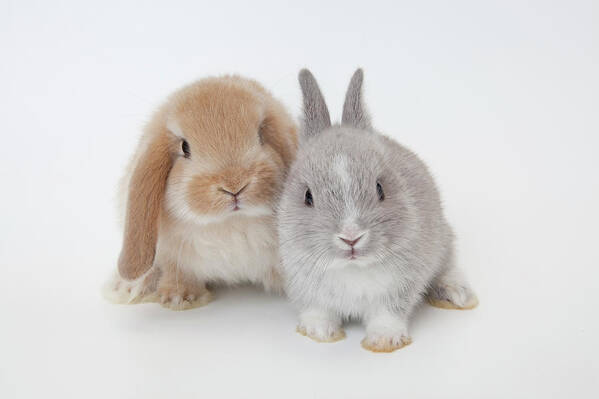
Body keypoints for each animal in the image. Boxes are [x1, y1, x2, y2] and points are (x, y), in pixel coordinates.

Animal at [105, 76, 300, 312]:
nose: (234, 185)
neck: (230, 223)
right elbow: (176, 271)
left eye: (261, 135)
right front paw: (179, 298)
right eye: (184, 147)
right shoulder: (173, 256)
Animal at [276, 69, 478, 354]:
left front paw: (384, 341)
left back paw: (457, 294)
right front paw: (320, 333)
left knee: (448, 266)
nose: (351, 237)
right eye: (307, 196)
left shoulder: (400, 288)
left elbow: (388, 315)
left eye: (380, 188)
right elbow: (318, 311)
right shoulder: (305, 288)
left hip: (444, 239)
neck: (352, 268)